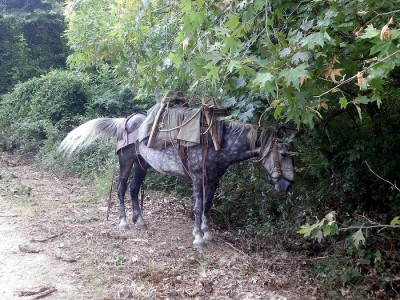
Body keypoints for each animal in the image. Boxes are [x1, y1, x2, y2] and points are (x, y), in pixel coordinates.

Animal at [59, 112, 294, 248]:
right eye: (283, 154)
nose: (287, 185)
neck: (218, 142)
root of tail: (124, 122)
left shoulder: (213, 181)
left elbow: (207, 206)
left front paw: (207, 233)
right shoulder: (198, 179)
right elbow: (198, 208)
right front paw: (198, 238)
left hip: (142, 164)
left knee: (134, 188)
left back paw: (139, 220)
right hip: (126, 160)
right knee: (121, 188)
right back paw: (123, 221)